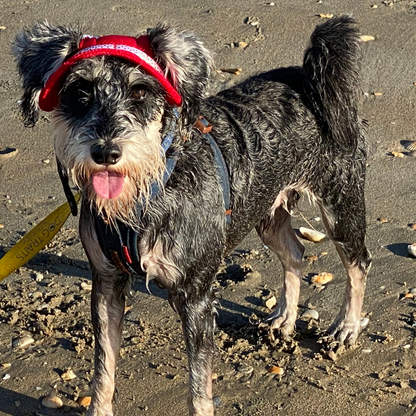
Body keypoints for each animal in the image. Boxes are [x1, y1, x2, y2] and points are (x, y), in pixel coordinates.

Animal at [12, 16, 370, 416]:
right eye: (79, 90)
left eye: (140, 91)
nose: (106, 152)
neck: (149, 192)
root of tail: (309, 79)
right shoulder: (106, 283)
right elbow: (103, 370)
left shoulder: (196, 297)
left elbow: (199, 386)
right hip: (267, 209)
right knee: (294, 252)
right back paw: (284, 319)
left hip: (340, 206)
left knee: (358, 263)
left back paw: (346, 328)